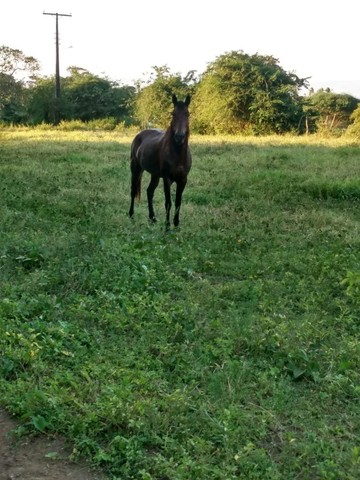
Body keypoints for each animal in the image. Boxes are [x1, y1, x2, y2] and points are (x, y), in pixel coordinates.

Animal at [129, 94, 191, 230]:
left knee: (149, 191)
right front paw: (167, 226)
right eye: (173, 114)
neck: (177, 154)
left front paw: (176, 225)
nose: (179, 137)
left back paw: (152, 218)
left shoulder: (183, 179)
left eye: (188, 114)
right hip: (136, 169)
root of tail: (139, 135)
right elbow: (168, 202)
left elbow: (178, 202)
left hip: (155, 175)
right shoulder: (167, 179)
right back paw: (131, 215)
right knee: (133, 191)